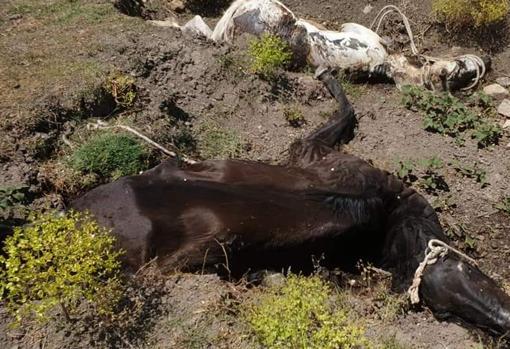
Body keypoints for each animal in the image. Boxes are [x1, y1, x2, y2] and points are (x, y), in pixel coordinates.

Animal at [71, 70, 510, 334]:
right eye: (445, 312)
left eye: (473, 273)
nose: (502, 321)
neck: (390, 213)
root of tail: (70, 213)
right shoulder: (319, 155)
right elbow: (342, 112)